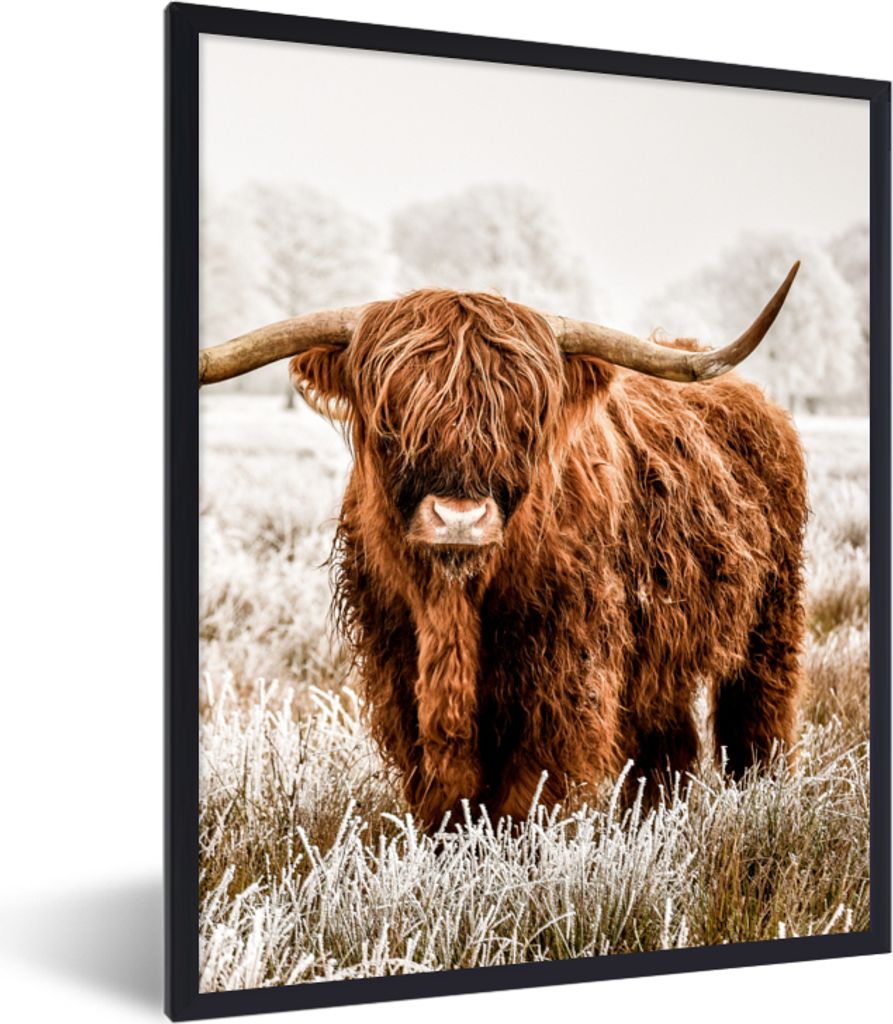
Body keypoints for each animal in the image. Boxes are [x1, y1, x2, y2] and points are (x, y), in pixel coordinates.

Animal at [198, 264, 807, 829]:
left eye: (523, 422)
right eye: (392, 417)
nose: (459, 519)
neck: (454, 606)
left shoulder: (563, 674)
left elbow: (530, 794)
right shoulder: (398, 669)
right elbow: (443, 794)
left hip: (771, 618)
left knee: (756, 719)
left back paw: (760, 800)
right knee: (668, 743)